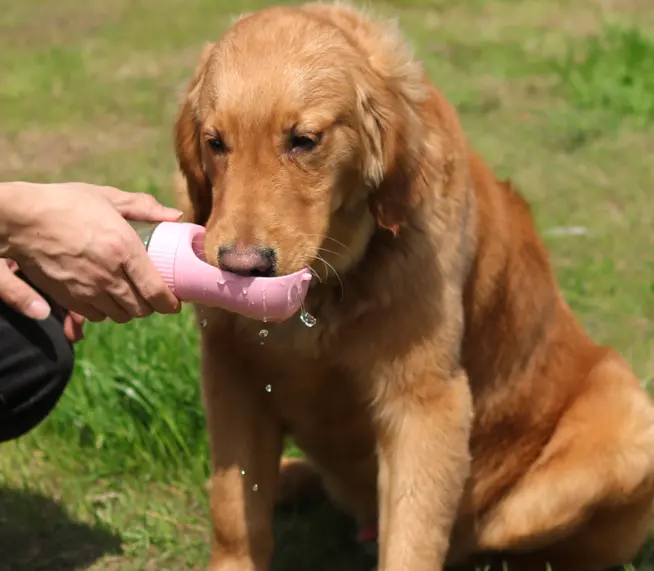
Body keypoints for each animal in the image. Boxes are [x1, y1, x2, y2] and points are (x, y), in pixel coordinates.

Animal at [174, 2, 654, 568]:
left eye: (304, 140)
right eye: (215, 143)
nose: (241, 267)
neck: (326, 287)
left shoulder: (426, 401)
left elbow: (413, 535)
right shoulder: (231, 374)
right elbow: (234, 512)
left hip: (622, 421)